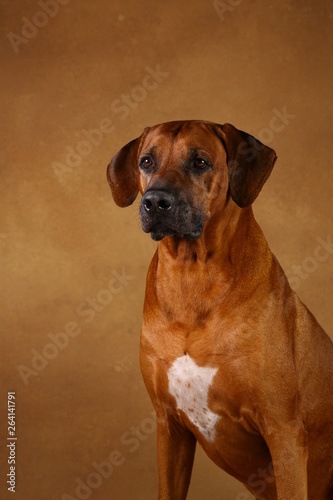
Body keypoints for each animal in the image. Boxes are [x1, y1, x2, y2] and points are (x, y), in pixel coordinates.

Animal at [107, 119, 332, 498]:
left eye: (199, 162)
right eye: (146, 161)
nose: (155, 202)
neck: (192, 275)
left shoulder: (283, 432)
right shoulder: (169, 428)